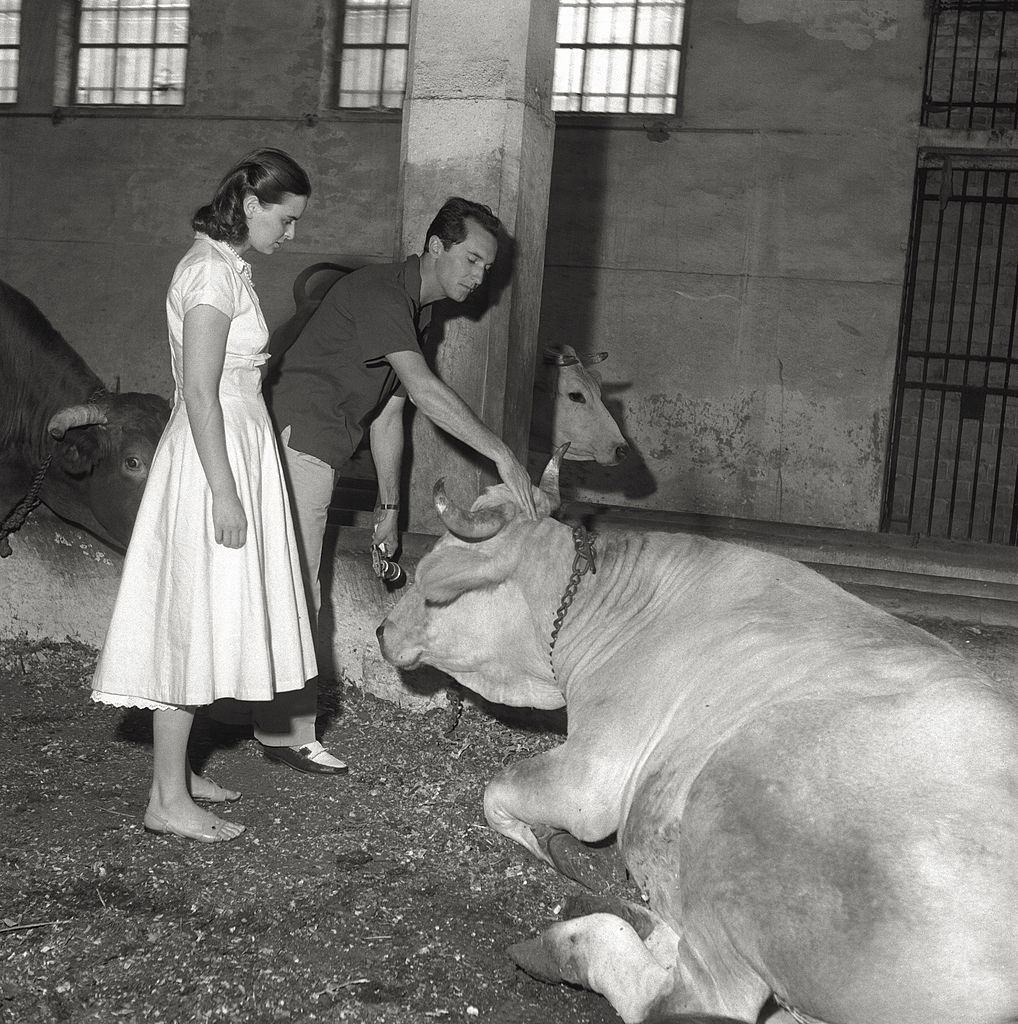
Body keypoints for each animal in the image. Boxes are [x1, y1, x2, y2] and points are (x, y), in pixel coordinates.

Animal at [378, 448, 1015, 1024]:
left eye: (433, 586)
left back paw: (562, 942)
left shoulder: (594, 774)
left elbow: (497, 795)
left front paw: (550, 846)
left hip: (732, 796)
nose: (382, 629)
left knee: (690, 996)